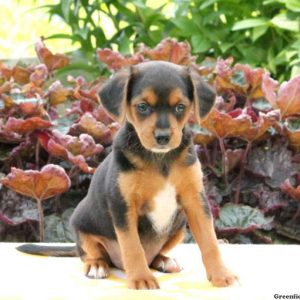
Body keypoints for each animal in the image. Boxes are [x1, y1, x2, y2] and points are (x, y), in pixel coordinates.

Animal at [19, 61, 239, 290]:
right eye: (142, 107)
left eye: (180, 107)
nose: (163, 137)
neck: (160, 158)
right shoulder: (124, 206)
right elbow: (133, 247)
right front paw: (141, 278)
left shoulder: (195, 200)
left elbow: (210, 241)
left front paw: (221, 274)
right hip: (81, 225)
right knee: (90, 254)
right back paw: (97, 265)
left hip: (179, 228)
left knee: (153, 256)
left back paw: (164, 261)